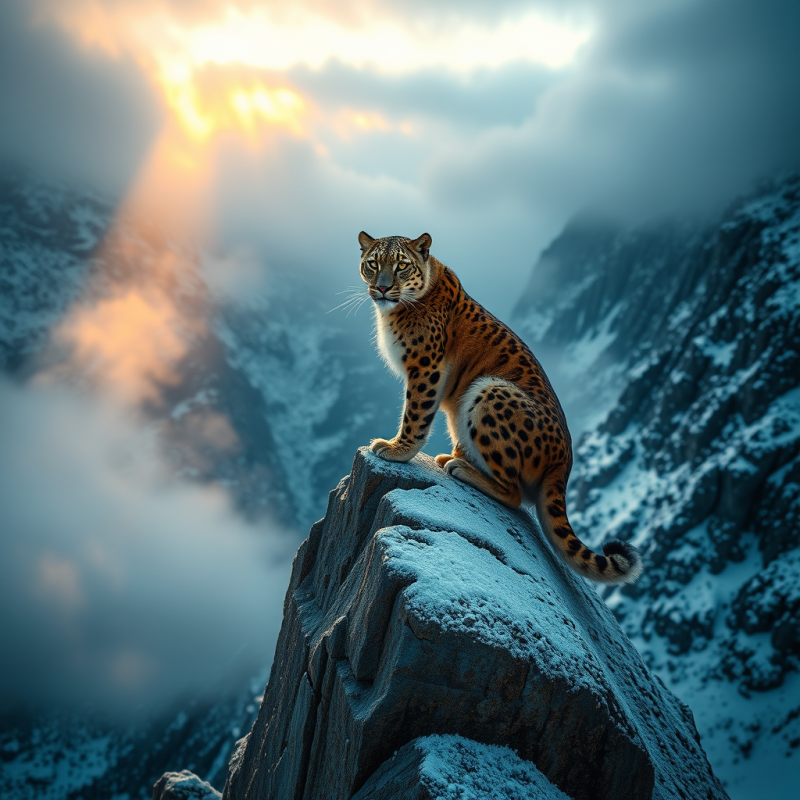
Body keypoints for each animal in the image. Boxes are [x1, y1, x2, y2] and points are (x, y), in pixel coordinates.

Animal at [358, 230, 642, 585]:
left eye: (401, 266)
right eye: (373, 264)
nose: (382, 288)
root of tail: (565, 463)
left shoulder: (425, 368)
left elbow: (416, 412)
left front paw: (398, 449)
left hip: (490, 390)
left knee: (514, 493)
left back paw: (461, 468)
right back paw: (455, 457)